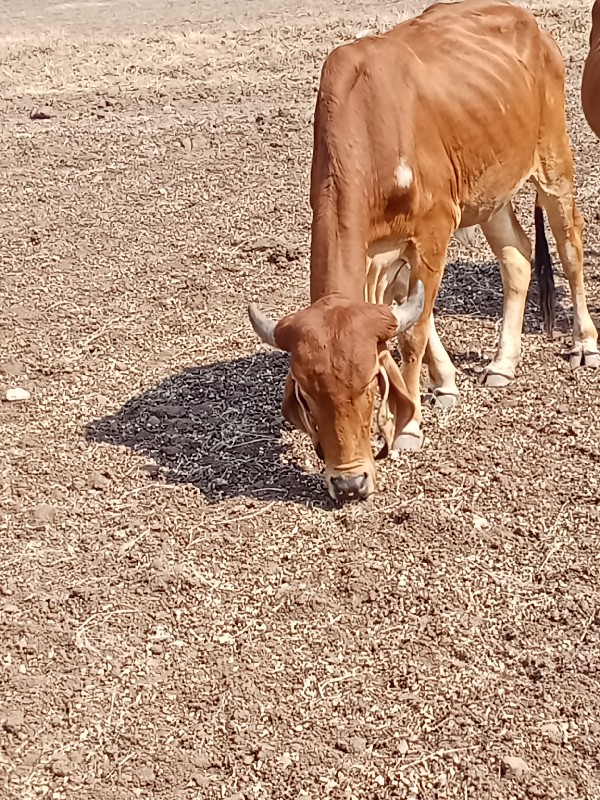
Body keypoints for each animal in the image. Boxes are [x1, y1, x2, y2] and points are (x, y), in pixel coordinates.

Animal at [247, 0, 596, 504]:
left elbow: (414, 328)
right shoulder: (375, 256)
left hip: (552, 160)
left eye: (369, 389)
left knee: (569, 245)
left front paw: (409, 427)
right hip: (488, 192)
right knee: (517, 257)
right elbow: (411, 314)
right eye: (309, 399)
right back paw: (502, 362)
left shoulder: (433, 231)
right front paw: (443, 386)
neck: (372, 124)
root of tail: (527, 22)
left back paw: (584, 343)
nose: (349, 483)